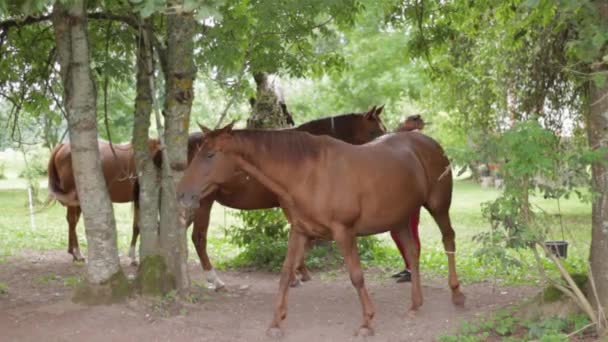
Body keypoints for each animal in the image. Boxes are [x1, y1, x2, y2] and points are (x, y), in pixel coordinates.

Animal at [164, 107, 388, 288]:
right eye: (374, 131)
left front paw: (299, 272)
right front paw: (297, 274)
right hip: (202, 202)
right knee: (198, 237)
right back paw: (214, 279)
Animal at [176, 122, 466, 336]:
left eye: (210, 155)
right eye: (198, 152)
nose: (182, 193)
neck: (308, 173)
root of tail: (430, 144)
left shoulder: (344, 232)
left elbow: (356, 276)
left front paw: (367, 322)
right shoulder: (300, 231)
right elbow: (285, 273)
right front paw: (276, 322)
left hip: (438, 207)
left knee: (448, 240)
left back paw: (456, 294)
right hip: (401, 218)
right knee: (413, 252)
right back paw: (415, 304)